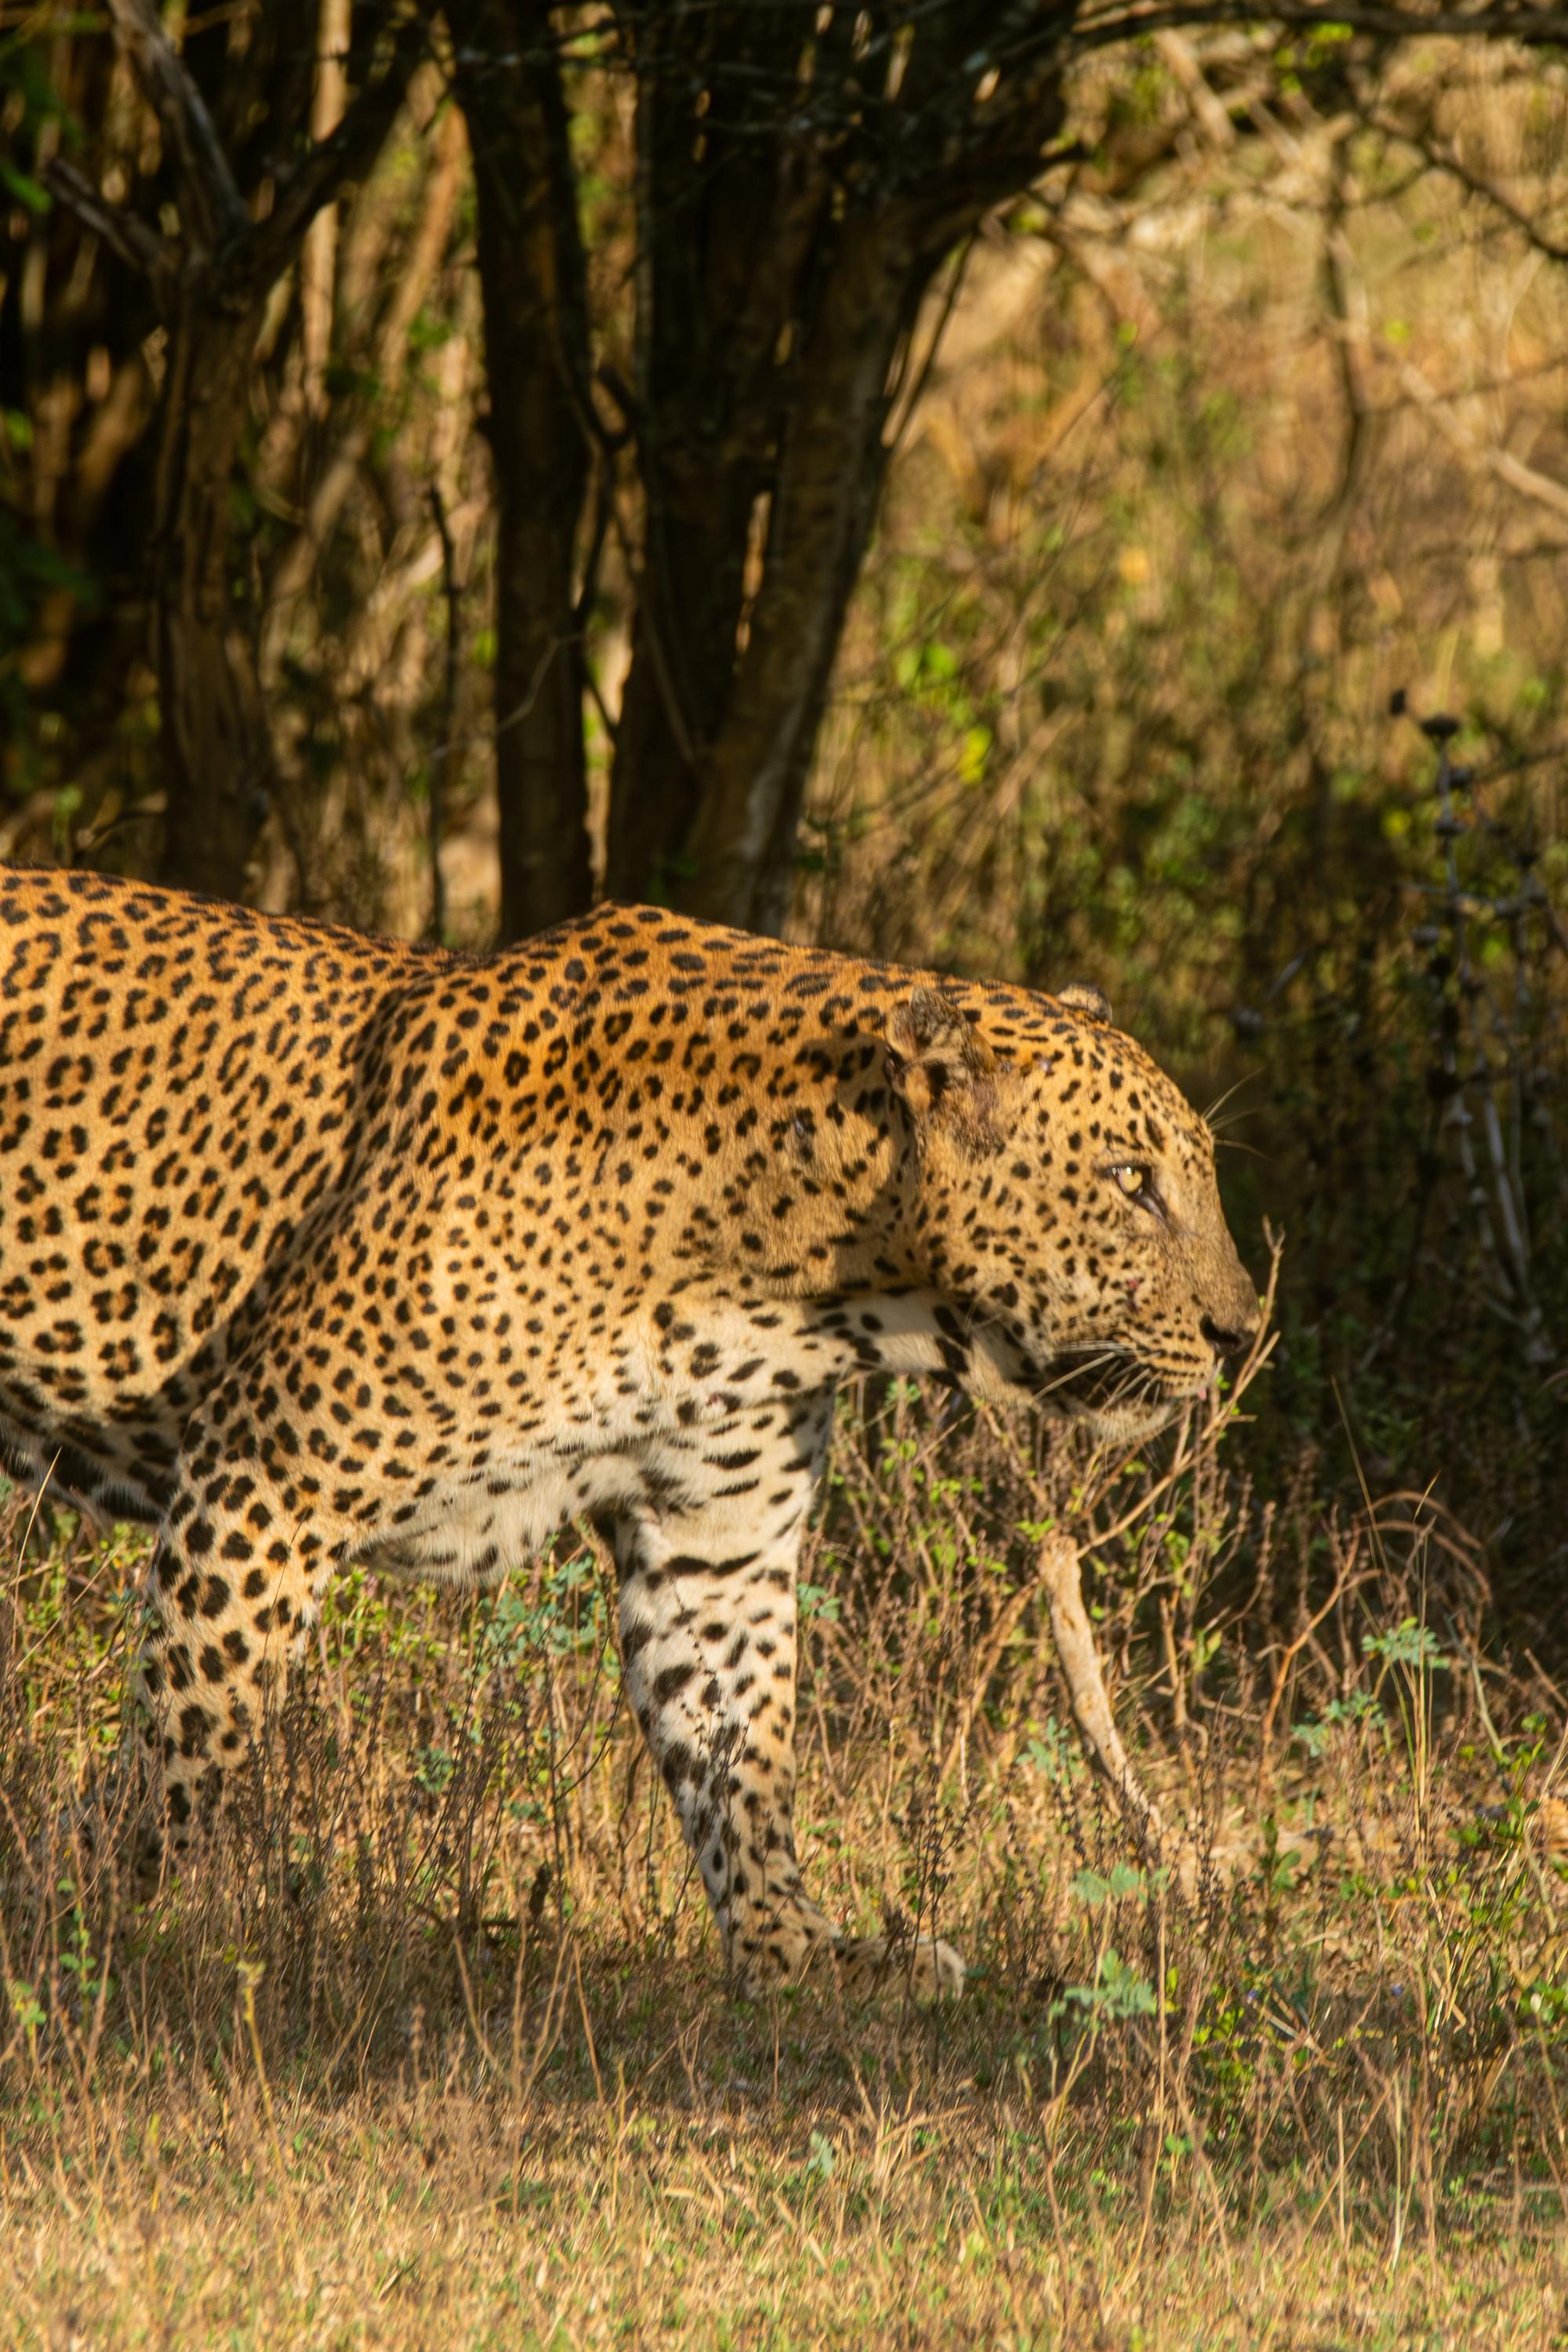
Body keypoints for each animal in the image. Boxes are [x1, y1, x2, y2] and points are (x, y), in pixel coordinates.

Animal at [0, 865, 1258, 1997]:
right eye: (1130, 1181)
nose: (1241, 1329)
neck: (808, 1275)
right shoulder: (266, 1479)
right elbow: (187, 1743)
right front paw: (81, 1924)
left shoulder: (716, 1544)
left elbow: (740, 1759)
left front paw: (798, 1954)